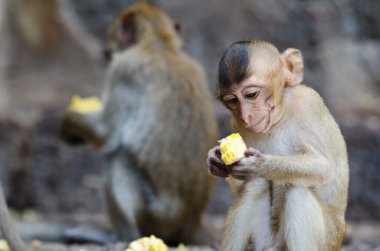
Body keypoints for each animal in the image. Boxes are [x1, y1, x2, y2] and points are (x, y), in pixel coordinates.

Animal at [59, 1, 217, 245]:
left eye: (110, 51)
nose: (106, 55)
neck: (160, 44)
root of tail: (189, 225)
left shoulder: (124, 69)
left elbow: (107, 134)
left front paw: (68, 124)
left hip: (152, 217)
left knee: (118, 160)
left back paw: (120, 236)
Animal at [206, 40, 348, 250]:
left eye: (251, 94)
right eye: (232, 100)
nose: (246, 116)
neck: (280, 117)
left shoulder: (309, 104)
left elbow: (324, 168)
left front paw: (260, 165)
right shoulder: (237, 124)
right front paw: (215, 159)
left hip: (329, 239)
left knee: (297, 191)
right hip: (263, 241)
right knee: (255, 185)